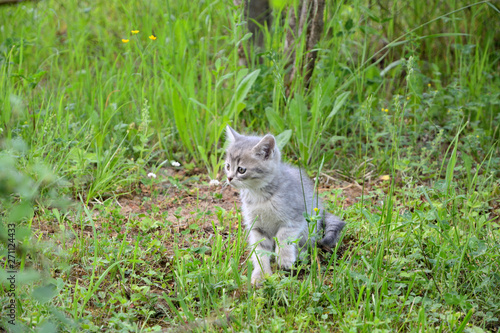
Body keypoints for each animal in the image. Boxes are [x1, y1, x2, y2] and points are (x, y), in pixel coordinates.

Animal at [225, 126, 346, 284]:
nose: (229, 178)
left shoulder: (295, 218)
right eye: (227, 166)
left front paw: (284, 258)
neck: (259, 196)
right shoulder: (256, 227)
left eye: (241, 169)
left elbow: (283, 236)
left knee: (307, 244)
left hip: (309, 226)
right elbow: (260, 251)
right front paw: (261, 274)